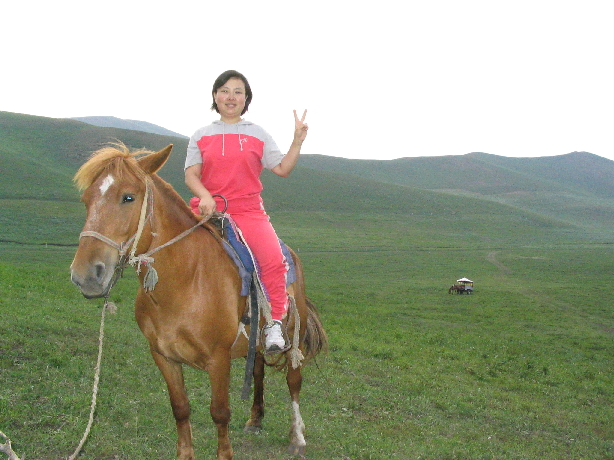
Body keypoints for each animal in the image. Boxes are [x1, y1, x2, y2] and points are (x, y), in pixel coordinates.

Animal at [70, 143, 327, 460]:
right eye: (86, 200)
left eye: (128, 197)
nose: (85, 275)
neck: (186, 280)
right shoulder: (163, 356)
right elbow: (180, 408)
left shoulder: (218, 360)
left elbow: (220, 412)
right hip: (254, 341)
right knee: (257, 370)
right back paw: (255, 419)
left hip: (294, 337)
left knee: (294, 381)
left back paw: (298, 437)